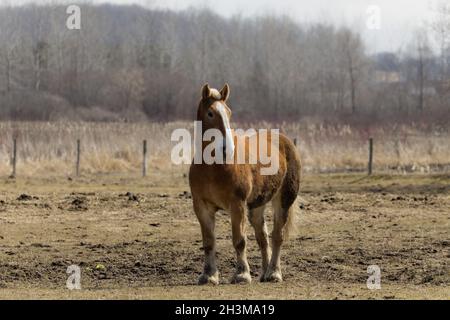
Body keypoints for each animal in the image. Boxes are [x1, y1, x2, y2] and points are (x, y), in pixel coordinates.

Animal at [188, 83, 300, 284]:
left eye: (229, 112)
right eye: (210, 113)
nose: (227, 149)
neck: (214, 167)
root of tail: (286, 142)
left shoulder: (237, 205)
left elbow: (239, 240)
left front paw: (242, 274)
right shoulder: (201, 206)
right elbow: (208, 242)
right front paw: (208, 275)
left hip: (284, 201)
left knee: (277, 237)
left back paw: (274, 273)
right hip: (257, 206)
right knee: (263, 238)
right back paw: (264, 273)